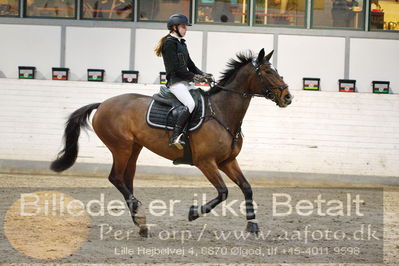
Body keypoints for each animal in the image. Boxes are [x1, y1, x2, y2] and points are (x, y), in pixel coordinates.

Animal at [50, 48, 294, 237]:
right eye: (268, 72)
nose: (288, 97)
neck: (222, 112)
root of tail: (102, 104)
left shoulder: (227, 161)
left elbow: (247, 188)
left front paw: (252, 225)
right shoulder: (206, 162)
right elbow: (223, 192)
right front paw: (194, 213)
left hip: (134, 148)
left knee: (127, 180)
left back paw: (141, 223)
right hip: (121, 147)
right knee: (116, 178)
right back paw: (140, 217)